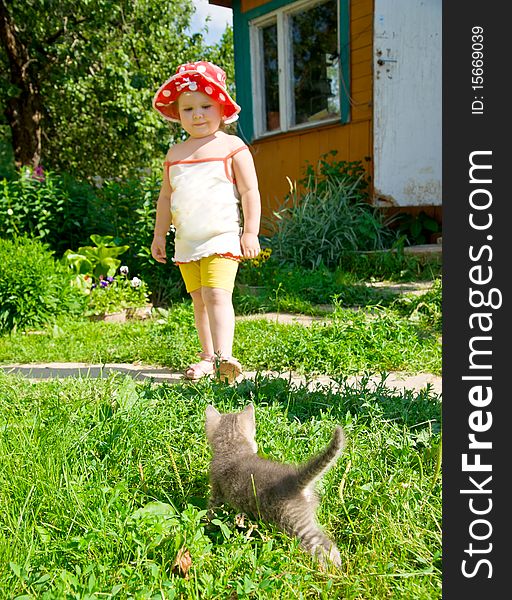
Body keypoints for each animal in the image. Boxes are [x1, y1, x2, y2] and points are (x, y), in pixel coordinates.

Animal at [203, 404, 344, 568]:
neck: (233, 448)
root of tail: (295, 479)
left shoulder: (216, 489)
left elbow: (211, 511)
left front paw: (206, 527)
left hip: (295, 522)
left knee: (324, 544)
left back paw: (331, 568)